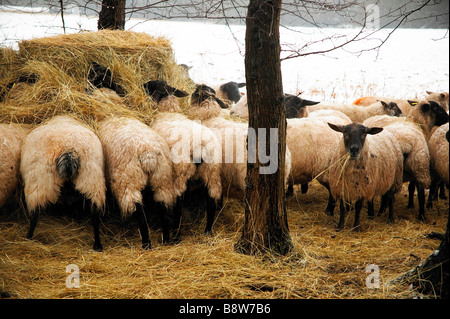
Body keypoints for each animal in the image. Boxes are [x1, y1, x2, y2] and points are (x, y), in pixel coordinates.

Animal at [20, 115, 106, 252]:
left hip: (40, 181)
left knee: (35, 214)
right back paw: (97, 245)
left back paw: (28, 238)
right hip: (92, 179)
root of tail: (69, 149)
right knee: (95, 213)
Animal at [96, 117, 178, 250]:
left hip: (128, 180)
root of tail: (148, 153)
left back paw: (146, 243)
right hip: (162, 177)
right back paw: (166, 239)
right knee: (162, 204)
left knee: (137, 207)